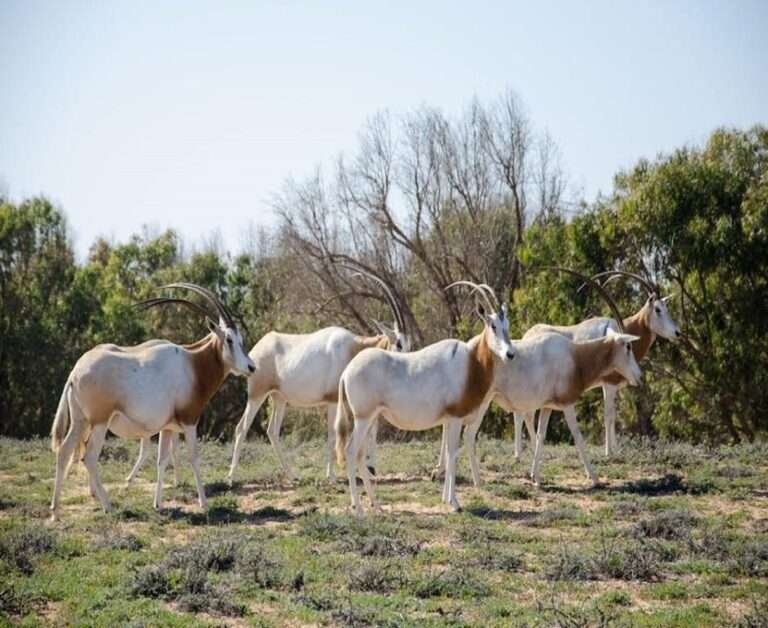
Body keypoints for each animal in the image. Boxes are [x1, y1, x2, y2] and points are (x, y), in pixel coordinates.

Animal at [51, 284, 255, 520]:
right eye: (229, 340)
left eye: (240, 340)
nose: (251, 367)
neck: (193, 365)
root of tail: (75, 372)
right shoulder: (189, 421)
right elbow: (194, 457)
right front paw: (204, 503)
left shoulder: (168, 427)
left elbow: (162, 460)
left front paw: (158, 504)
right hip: (100, 422)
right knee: (89, 457)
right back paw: (107, 506)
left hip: (80, 421)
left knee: (64, 452)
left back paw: (55, 511)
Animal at [226, 262, 412, 484]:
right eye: (398, 343)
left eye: (409, 344)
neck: (353, 348)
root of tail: (257, 349)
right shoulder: (332, 400)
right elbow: (332, 434)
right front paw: (331, 476)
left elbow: (370, 431)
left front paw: (370, 471)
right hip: (257, 395)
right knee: (241, 428)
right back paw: (231, 477)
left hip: (279, 398)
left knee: (272, 431)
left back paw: (292, 475)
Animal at [338, 282, 512, 512]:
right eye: (492, 326)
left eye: (507, 324)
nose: (510, 354)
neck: (471, 363)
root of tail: (346, 371)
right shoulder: (455, 418)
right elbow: (452, 454)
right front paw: (455, 503)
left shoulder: (448, 419)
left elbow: (449, 454)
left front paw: (446, 499)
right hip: (363, 418)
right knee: (350, 452)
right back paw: (358, 509)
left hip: (370, 419)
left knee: (359, 454)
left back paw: (376, 505)